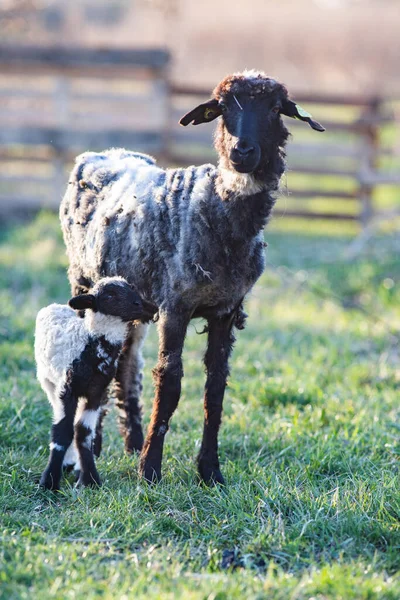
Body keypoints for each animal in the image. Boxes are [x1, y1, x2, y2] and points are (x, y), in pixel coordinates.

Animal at [35, 278, 155, 490]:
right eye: (109, 296)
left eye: (132, 288)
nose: (144, 306)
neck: (91, 344)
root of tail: (54, 306)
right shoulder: (67, 389)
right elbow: (62, 432)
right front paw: (49, 482)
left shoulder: (96, 392)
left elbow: (83, 432)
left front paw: (89, 479)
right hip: (47, 381)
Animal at [59, 68, 324, 486]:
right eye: (222, 109)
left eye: (275, 109)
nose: (241, 152)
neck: (217, 208)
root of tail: (103, 152)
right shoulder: (176, 305)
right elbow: (170, 384)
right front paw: (150, 470)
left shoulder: (226, 310)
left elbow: (215, 388)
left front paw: (210, 471)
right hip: (84, 282)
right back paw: (99, 447)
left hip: (129, 302)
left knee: (127, 365)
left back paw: (131, 442)